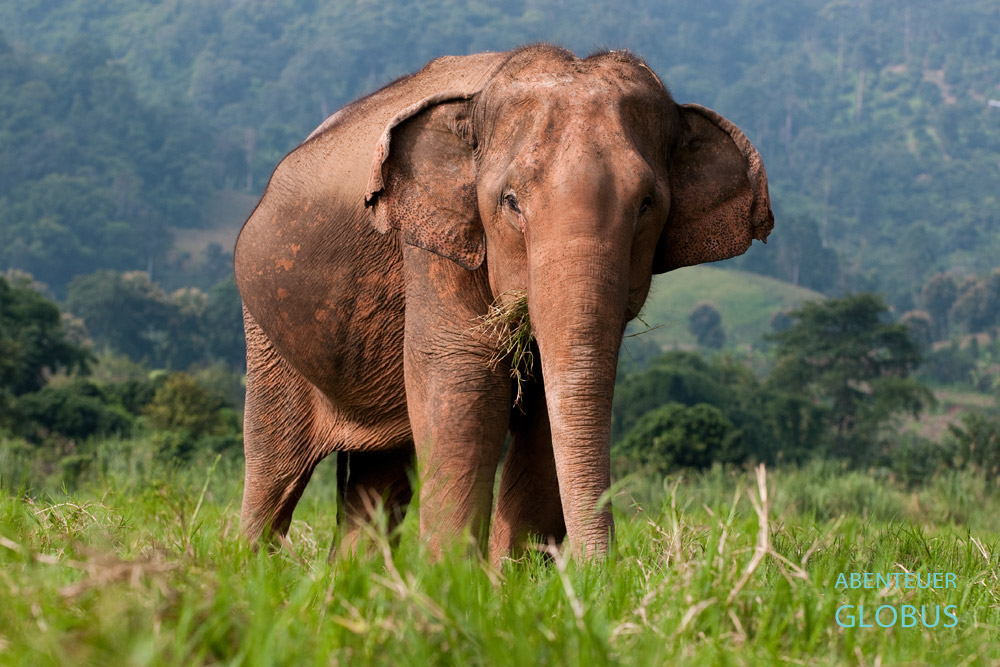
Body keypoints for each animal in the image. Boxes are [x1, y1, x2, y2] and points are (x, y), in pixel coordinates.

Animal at [234, 45, 773, 562]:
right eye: (511, 202)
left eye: (646, 206)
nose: (606, 573)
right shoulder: (434, 245)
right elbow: (463, 381)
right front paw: (452, 581)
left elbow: (547, 412)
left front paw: (509, 581)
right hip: (265, 335)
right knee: (274, 468)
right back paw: (251, 567)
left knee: (378, 478)